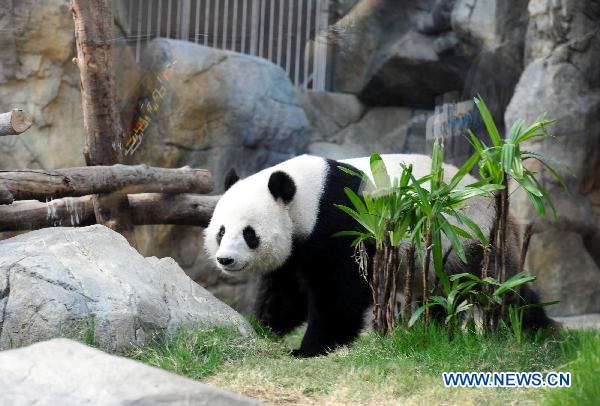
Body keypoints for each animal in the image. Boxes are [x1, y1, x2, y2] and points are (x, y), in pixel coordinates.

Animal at [204, 154, 552, 356]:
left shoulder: (342, 221)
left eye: (249, 233)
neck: (307, 194)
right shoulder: (298, 245)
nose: (225, 260)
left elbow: (340, 293)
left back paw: (534, 330)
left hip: (467, 238)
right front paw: (263, 325)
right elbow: (287, 291)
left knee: (496, 287)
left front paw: (310, 348)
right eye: (221, 230)